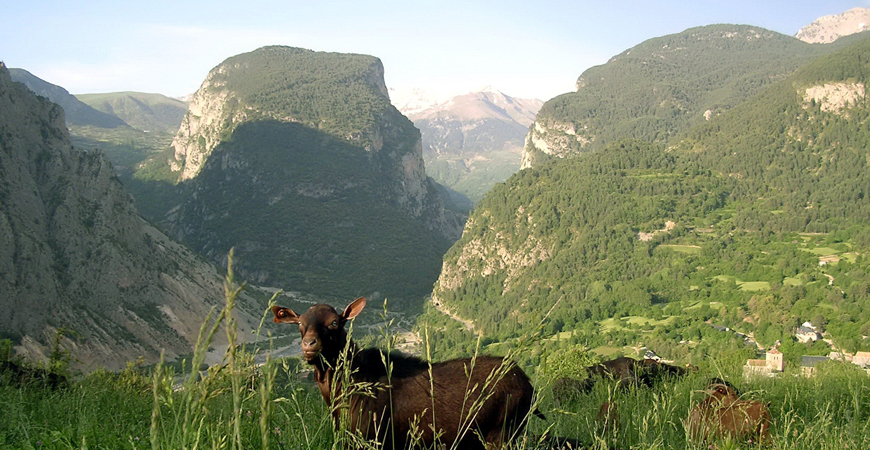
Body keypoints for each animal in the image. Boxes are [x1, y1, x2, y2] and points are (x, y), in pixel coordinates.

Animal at [276, 298, 540, 448]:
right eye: (299, 324)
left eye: (334, 323)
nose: (309, 345)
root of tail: (527, 383)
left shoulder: (370, 436)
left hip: (502, 432)